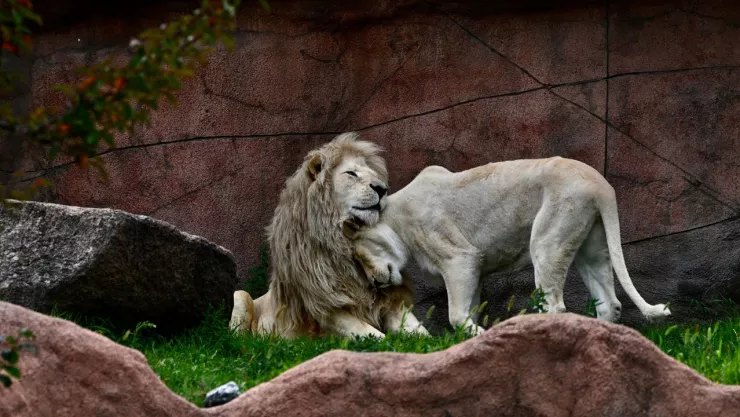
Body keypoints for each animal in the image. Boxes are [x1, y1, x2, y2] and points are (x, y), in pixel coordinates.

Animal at [229, 133, 429, 339]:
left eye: (374, 176)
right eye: (351, 174)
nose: (382, 189)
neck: (338, 239)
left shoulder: (391, 303)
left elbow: (423, 335)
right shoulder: (325, 307)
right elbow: (375, 337)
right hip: (241, 295)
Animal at [351, 157, 671, 335]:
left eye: (360, 255)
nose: (375, 283)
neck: (394, 217)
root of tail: (601, 184)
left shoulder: (460, 258)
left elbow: (456, 315)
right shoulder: (476, 270)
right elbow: (469, 311)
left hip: (548, 238)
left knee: (554, 304)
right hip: (589, 246)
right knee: (609, 303)